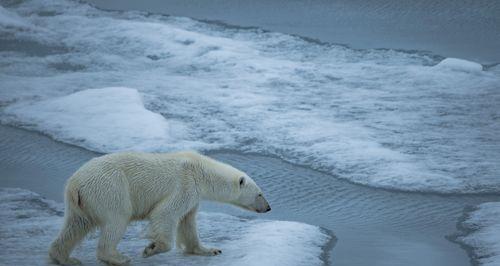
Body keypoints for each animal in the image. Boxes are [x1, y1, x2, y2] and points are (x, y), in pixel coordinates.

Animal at [48, 151, 272, 264]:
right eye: (260, 194)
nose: (269, 208)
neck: (199, 170)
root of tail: (75, 184)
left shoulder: (193, 196)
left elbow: (188, 223)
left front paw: (210, 250)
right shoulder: (184, 184)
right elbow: (165, 214)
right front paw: (152, 248)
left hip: (83, 201)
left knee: (75, 225)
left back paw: (65, 259)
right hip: (110, 188)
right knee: (117, 219)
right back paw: (117, 258)